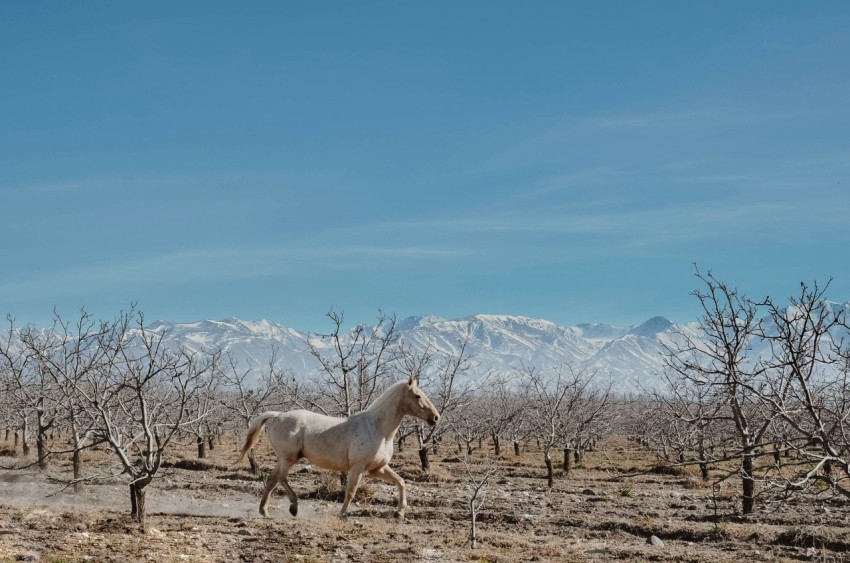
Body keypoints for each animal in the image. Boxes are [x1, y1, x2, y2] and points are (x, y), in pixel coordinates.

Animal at [238, 376, 439, 519]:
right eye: (417, 396)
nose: (436, 418)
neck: (378, 428)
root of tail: (278, 415)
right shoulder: (358, 467)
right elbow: (351, 491)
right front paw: (343, 515)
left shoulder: (377, 469)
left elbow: (401, 482)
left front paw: (399, 513)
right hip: (289, 457)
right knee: (280, 477)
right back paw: (293, 507)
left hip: (284, 458)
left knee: (272, 479)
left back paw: (265, 511)